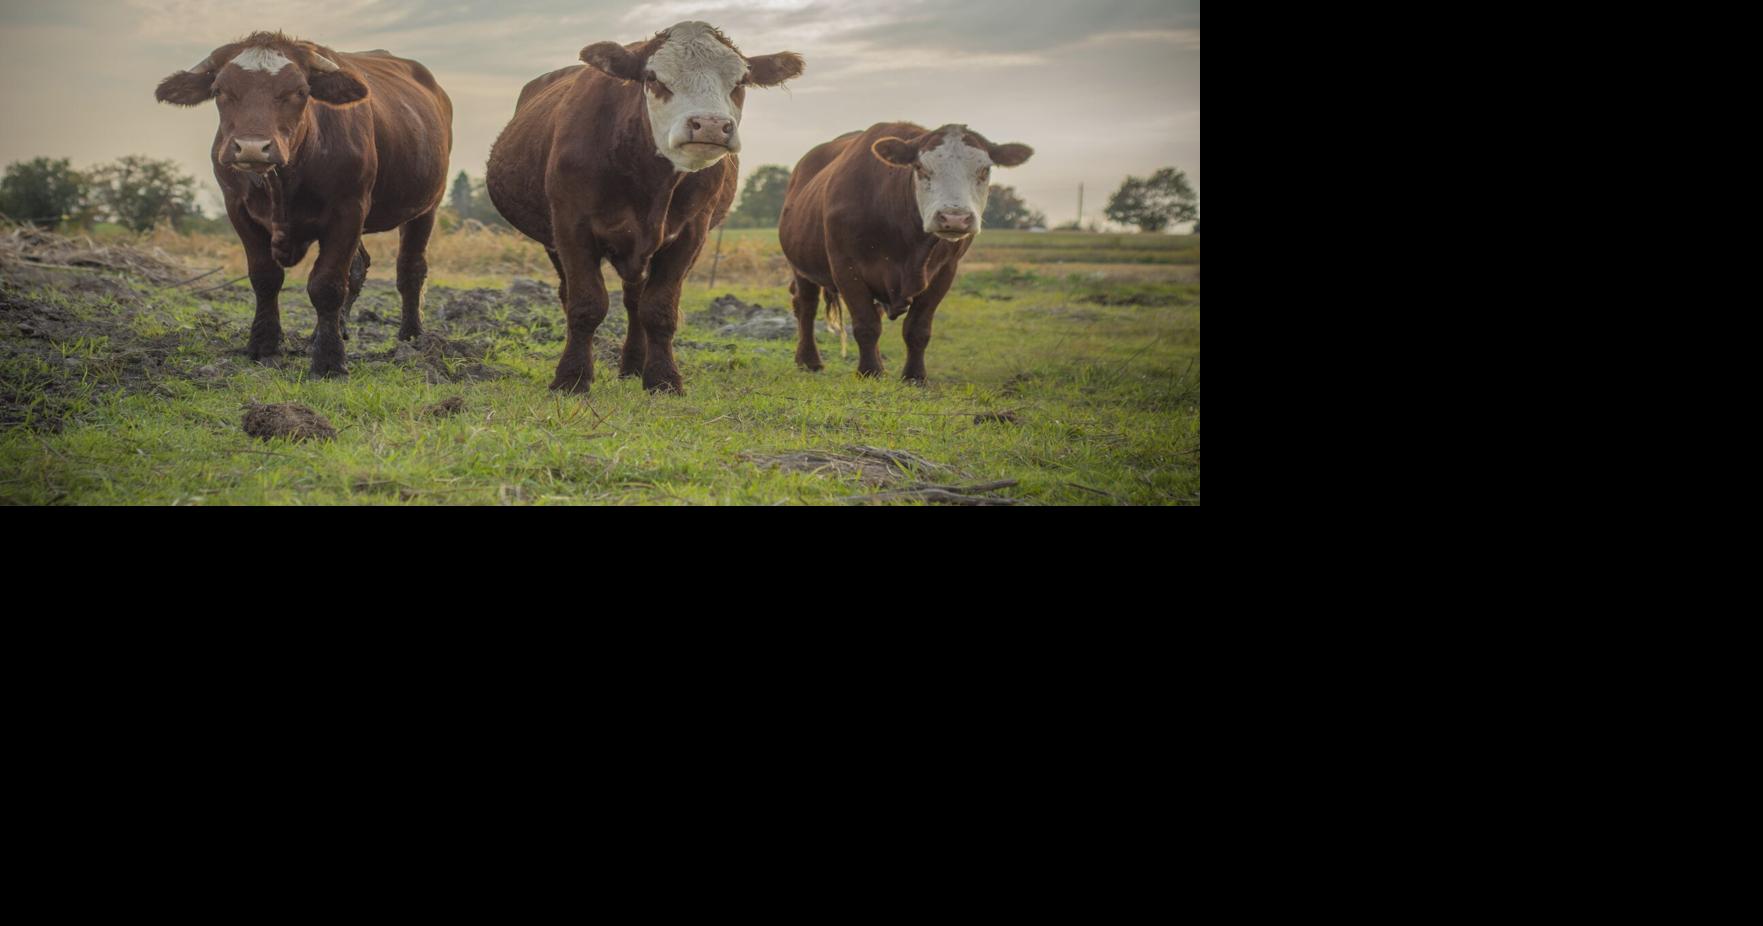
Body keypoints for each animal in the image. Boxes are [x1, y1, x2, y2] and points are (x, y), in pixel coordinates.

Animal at [155, 33, 453, 376]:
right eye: (219, 90)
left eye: (300, 91)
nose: (252, 147)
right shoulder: (238, 210)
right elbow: (265, 278)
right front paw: (264, 344)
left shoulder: (348, 210)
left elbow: (327, 284)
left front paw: (329, 359)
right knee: (359, 266)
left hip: (426, 206)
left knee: (410, 268)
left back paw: (411, 336)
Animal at [486, 21, 804, 394]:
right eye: (653, 78)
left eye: (740, 81)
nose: (711, 125)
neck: (649, 180)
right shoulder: (570, 226)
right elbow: (586, 303)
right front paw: (572, 377)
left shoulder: (690, 234)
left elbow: (659, 308)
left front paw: (663, 378)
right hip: (552, 240)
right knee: (570, 294)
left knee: (634, 301)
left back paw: (633, 365)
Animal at [778, 123, 1033, 383]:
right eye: (920, 168)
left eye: (984, 170)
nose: (954, 218)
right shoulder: (845, 266)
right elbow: (866, 324)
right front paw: (869, 371)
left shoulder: (945, 271)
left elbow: (917, 328)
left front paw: (914, 376)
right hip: (801, 265)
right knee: (806, 306)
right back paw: (809, 360)